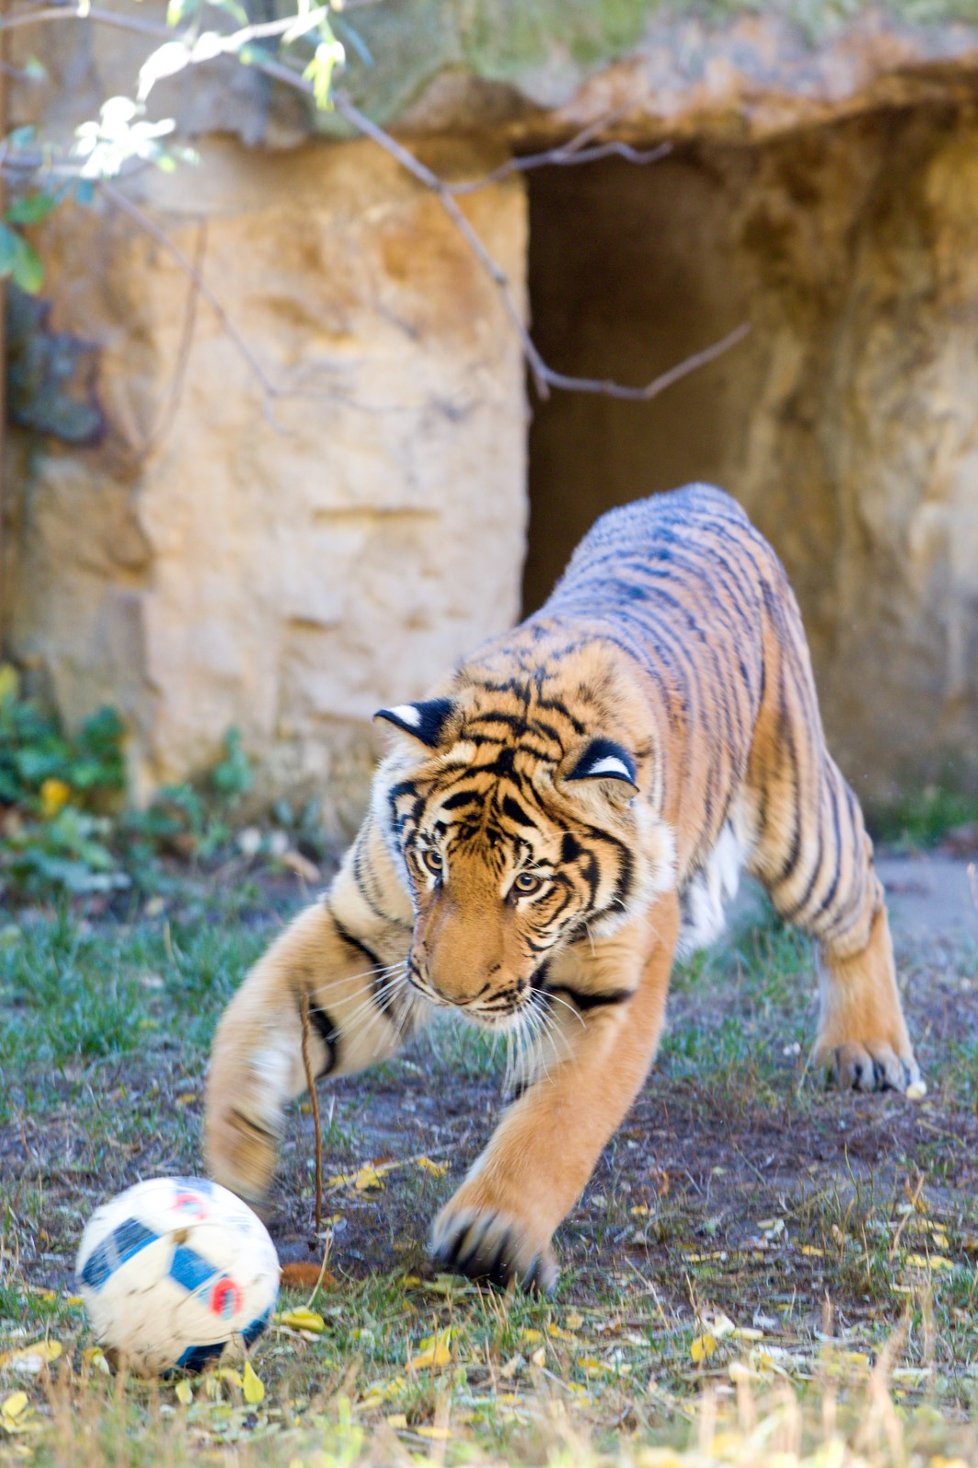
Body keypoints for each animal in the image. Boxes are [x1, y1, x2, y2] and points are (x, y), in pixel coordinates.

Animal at [201, 487, 916, 1291]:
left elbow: (559, 1119)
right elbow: (263, 1014)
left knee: (861, 889)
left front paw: (493, 1234)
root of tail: (698, 492)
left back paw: (868, 1052)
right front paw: (235, 1155)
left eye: (528, 882)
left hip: (798, 829)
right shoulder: (367, 926)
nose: (448, 994)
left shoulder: (613, 994)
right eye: (433, 861)